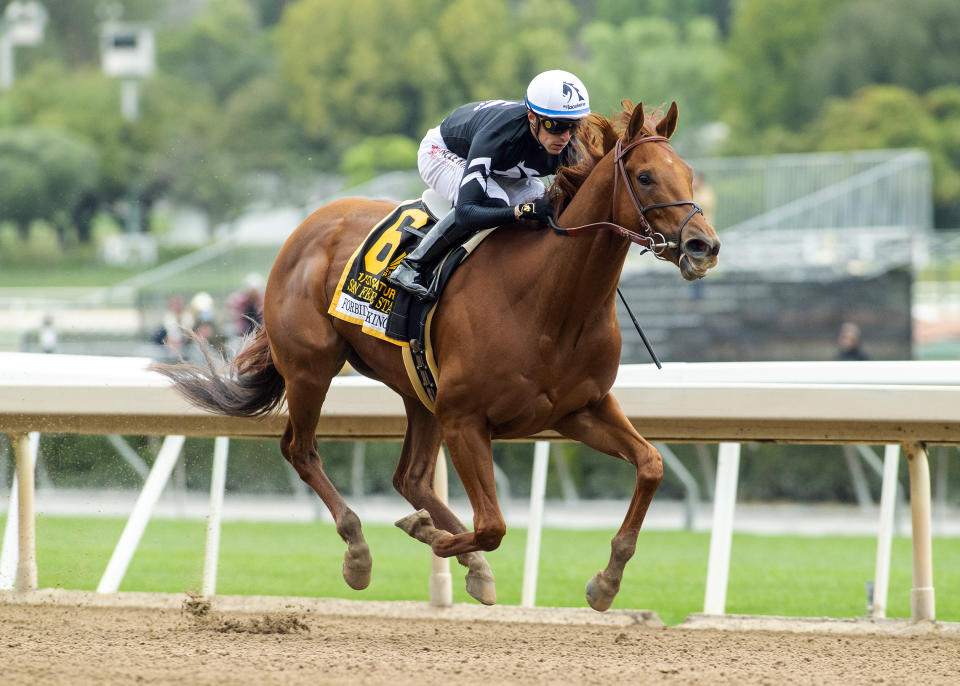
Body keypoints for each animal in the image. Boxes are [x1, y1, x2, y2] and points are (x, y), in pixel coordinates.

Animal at [154, 102, 716, 612]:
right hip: (312, 368)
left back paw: (453, 552)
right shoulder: (466, 418)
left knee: (410, 477)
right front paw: (440, 541)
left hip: (419, 391)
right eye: (645, 176)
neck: (552, 302)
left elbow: (650, 464)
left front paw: (606, 581)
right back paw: (360, 551)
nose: (702, 245)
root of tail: (308, 224)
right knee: (301, 449)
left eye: (689, 174)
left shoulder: (580, 409)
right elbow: (492, 526)